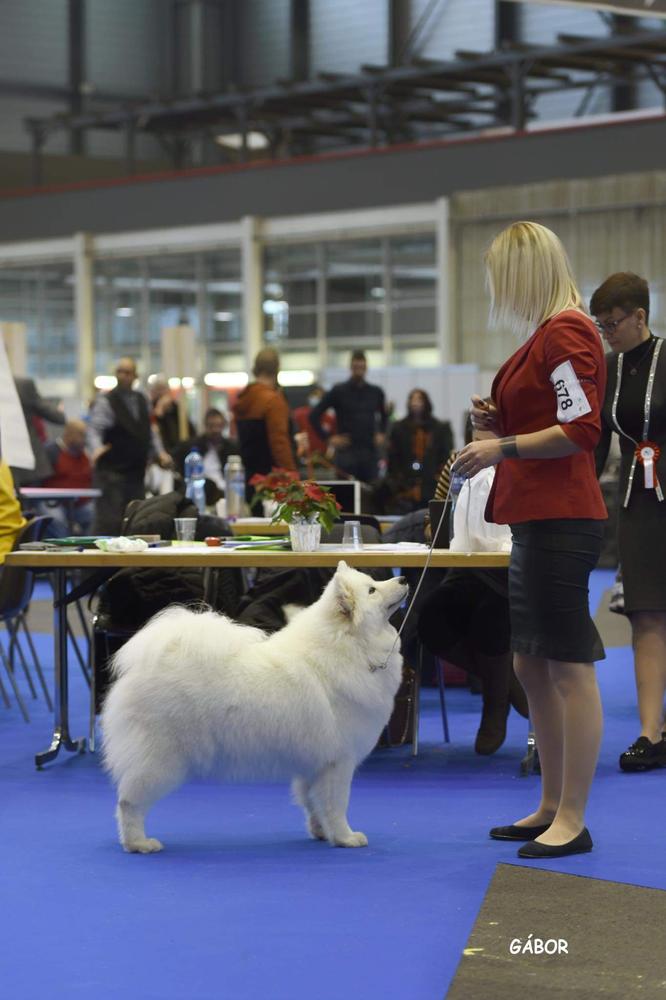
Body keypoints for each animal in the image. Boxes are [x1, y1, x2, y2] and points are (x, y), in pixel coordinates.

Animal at [101, 560, 408, 856]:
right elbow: (336, 805)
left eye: (374, 581)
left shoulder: (314, 763)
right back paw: (139, 843)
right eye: (372, 590)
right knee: (129, 802)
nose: (403, 578)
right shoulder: (338, 762)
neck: (348, 647)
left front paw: (322, 833)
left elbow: (313, 803)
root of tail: (150, 664)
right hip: (161, 759)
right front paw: (345, 837)